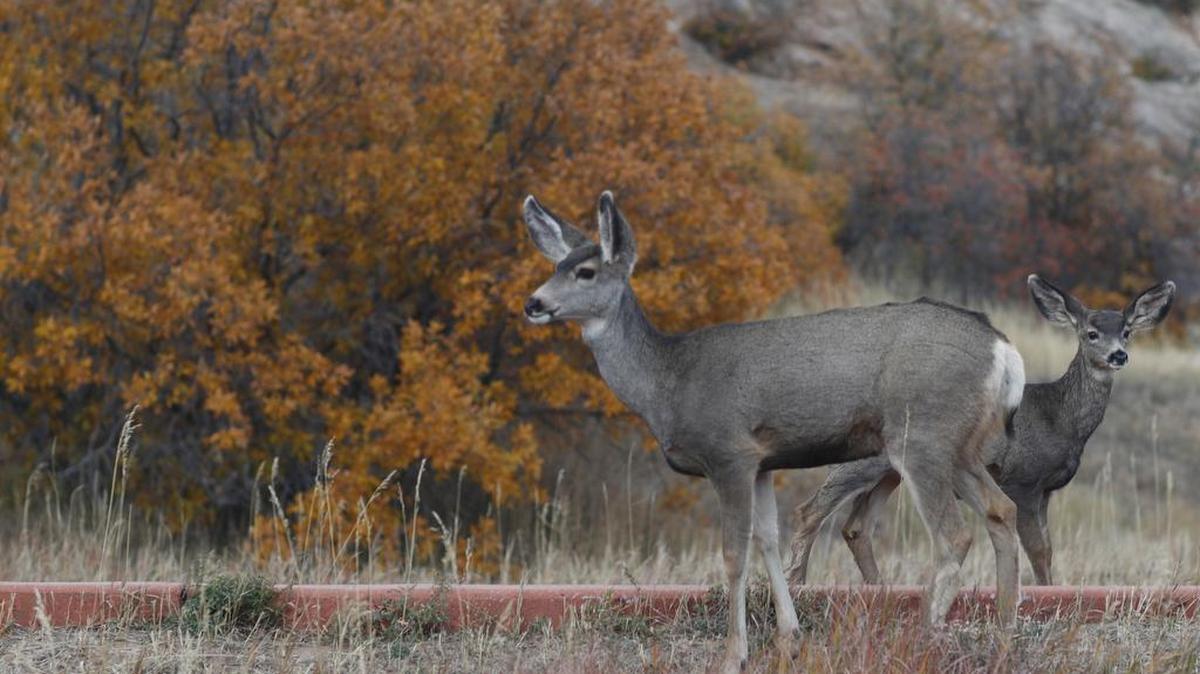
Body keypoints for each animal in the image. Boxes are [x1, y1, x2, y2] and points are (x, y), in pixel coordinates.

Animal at [522, 190, 1027, 673]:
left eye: (586, 272)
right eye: (555, 266)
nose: (534, 303)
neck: (668, 383)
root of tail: (1004, 351)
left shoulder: (729, 453)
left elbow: (734, 554)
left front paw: (733, 657)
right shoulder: (763, 461)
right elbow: (768, 539)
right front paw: (790, 642)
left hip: (921, 436)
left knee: (954, 536)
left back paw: (923, 637)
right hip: (960, 446)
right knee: (1002, 510)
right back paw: (1003, 639)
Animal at [785, 275, 1176, 588]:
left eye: (1126, 332)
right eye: (1091, 334)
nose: (1118, 355)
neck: (1059, 420)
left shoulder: (1046, 490)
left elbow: (1049, 549)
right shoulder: (1024, 480)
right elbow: (1038, 549)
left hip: (890, 472)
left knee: (856, 527)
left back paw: (878, 588)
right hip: (860, 463)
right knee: (810, 510)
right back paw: (798, 585)